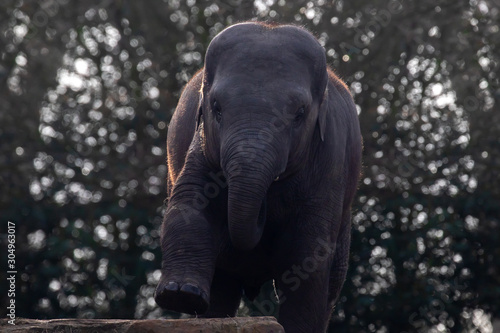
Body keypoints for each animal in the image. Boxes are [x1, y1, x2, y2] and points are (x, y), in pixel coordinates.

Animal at [154, 22, 362, 330]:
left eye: (300, 113)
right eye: (216, 108)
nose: (264, 209)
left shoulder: (330, 162)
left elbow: (307, 252)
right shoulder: (201, 146)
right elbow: (190, 206)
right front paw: (180, 295)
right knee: (222, 286)